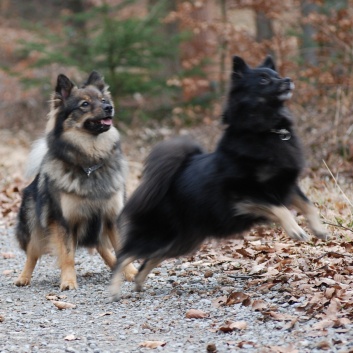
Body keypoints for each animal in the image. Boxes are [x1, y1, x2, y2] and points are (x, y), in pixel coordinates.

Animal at [14, 71, 136, 288]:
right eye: (84, 104)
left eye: (103, 100)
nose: (109, 107)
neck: (90, 163)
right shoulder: (64, 221)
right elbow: (67, 255)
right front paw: (69, 281)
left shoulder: (111, 217)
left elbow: (121, 249)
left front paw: (130, 272)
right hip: (34, 224)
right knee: (32, 253)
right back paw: (23, 277)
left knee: (102, 247)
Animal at [108, 55, 326, 296]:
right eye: (263, 79)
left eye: (276, 75)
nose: (287, 80)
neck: (267, 131)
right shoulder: (245, 194)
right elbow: (280, 208)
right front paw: (296, 230)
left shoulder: (286, 184)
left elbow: (308, 205)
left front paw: (319, 229)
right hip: (160, 234)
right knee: (124, 255)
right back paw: (115, 290)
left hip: (182, 240)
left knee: (151, 258)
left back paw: (138, 282)